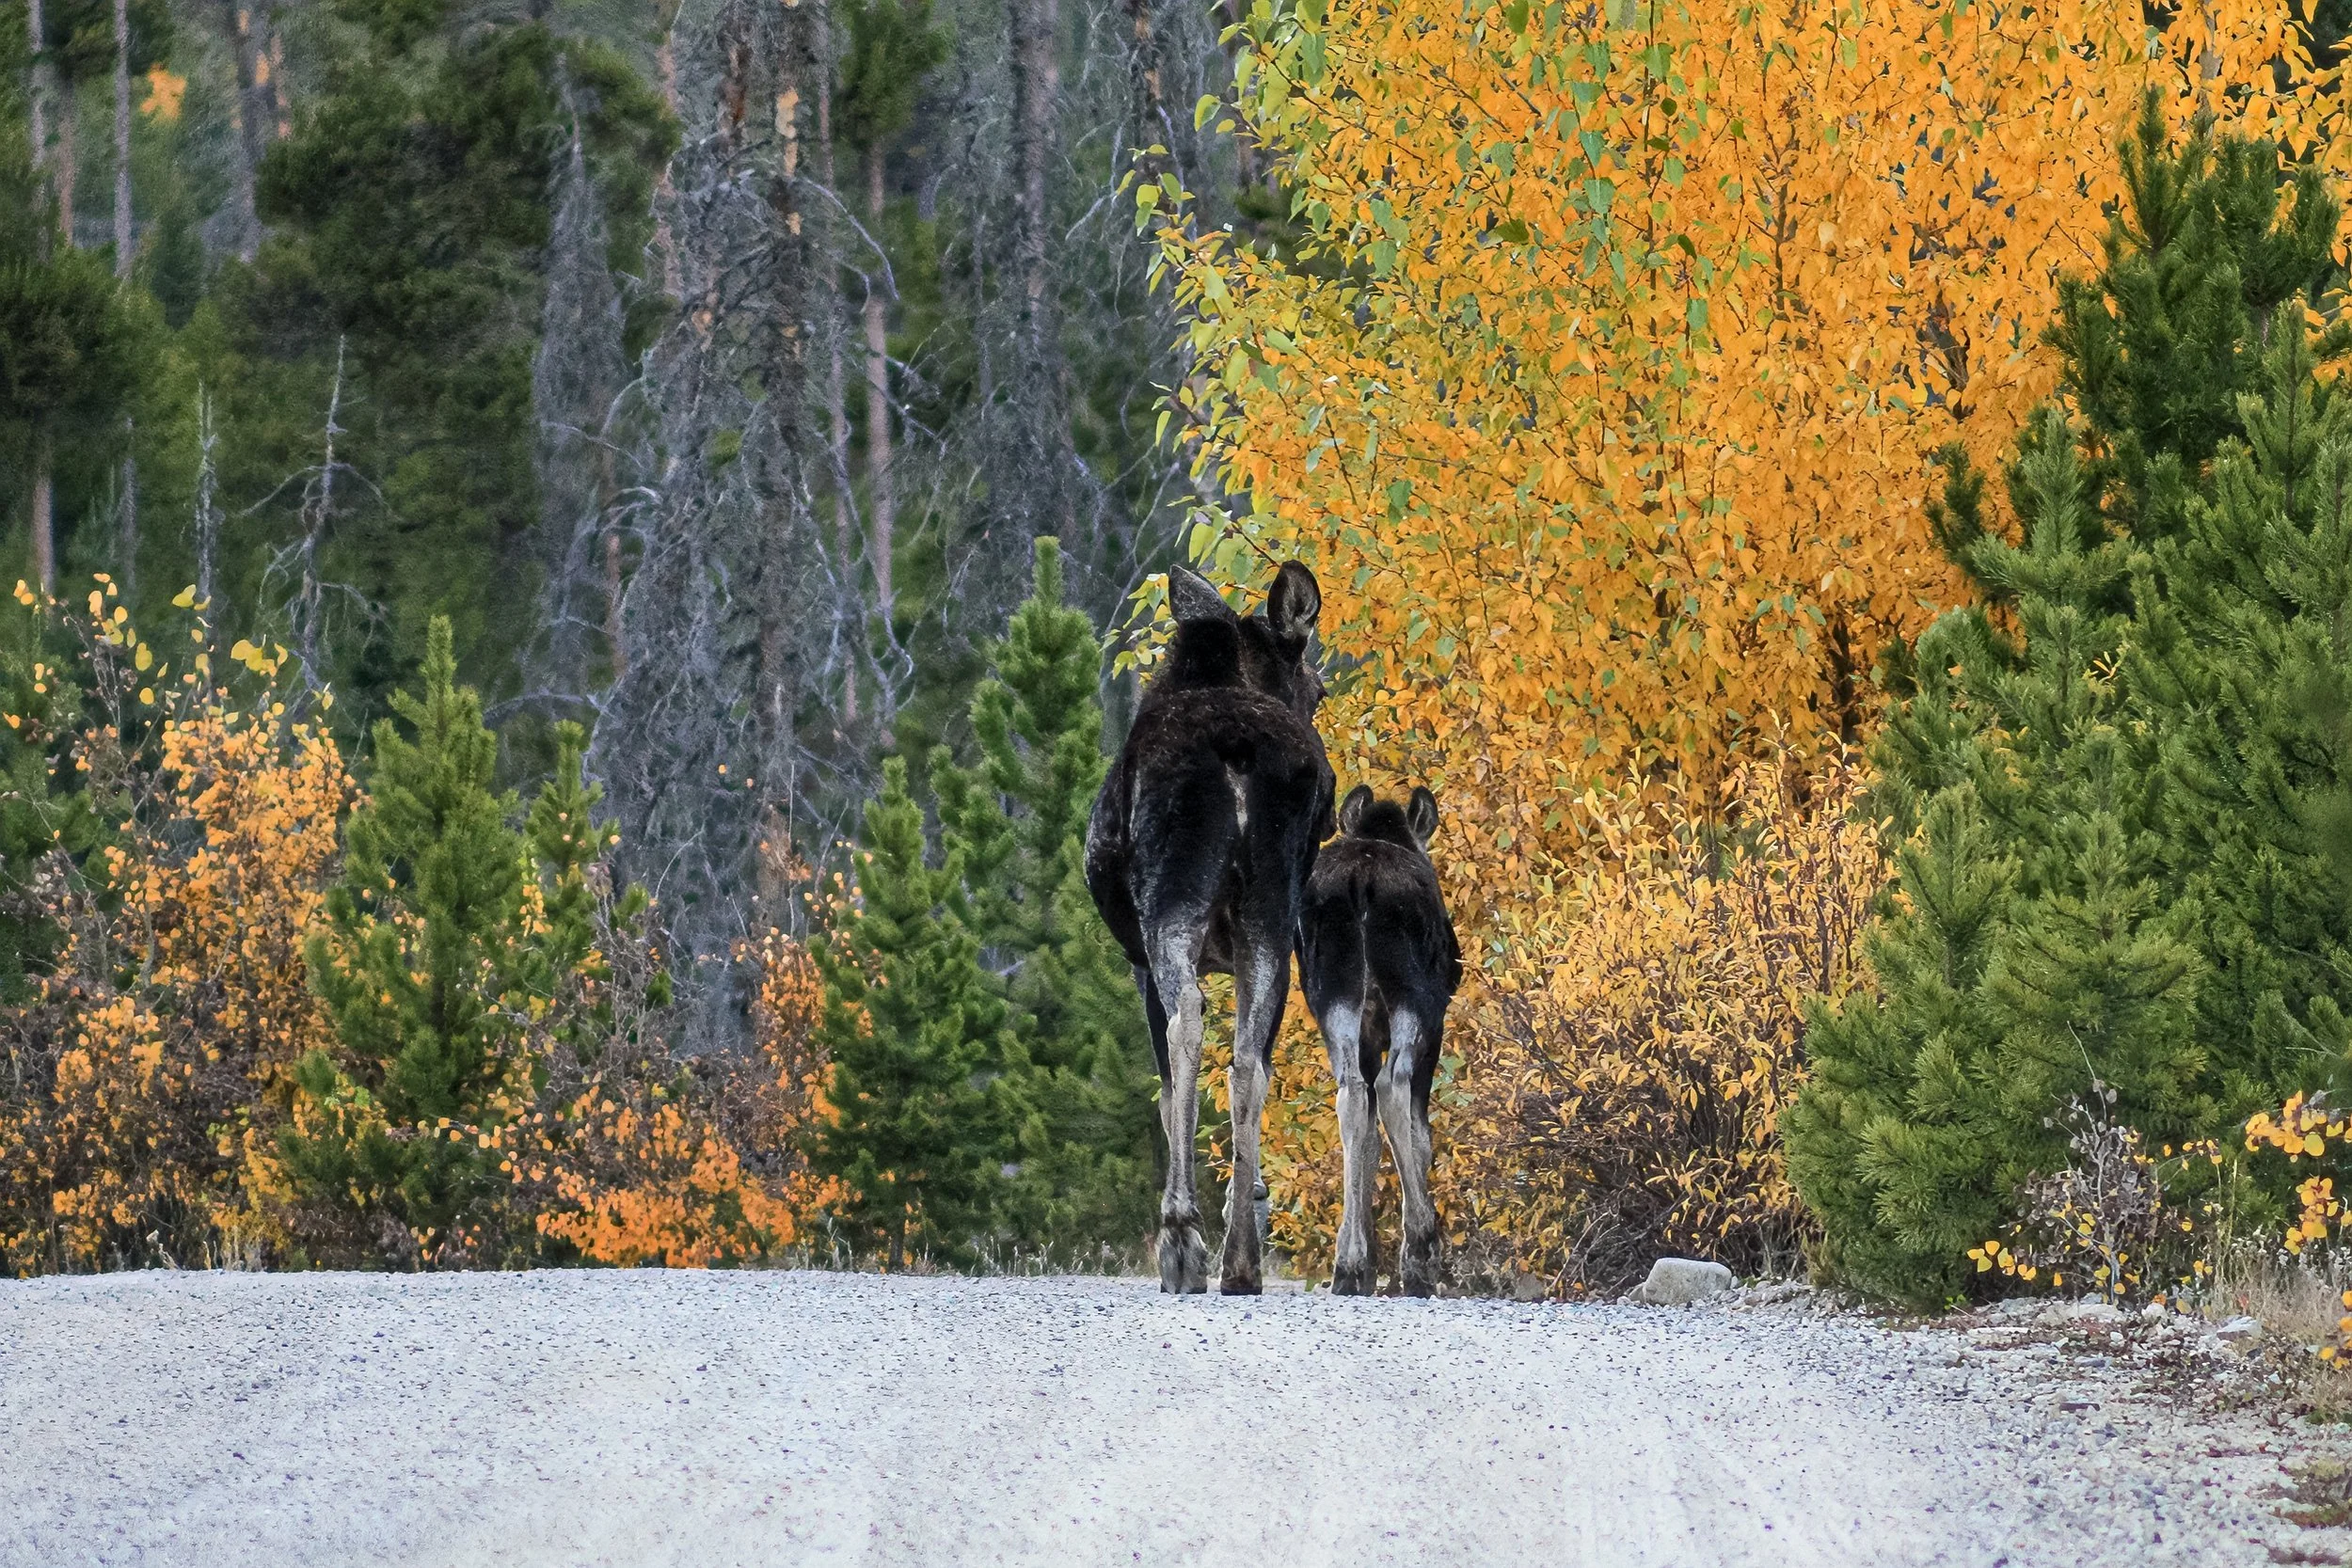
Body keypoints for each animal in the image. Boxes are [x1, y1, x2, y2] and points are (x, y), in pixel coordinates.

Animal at [1084, 560, 1334, 1294]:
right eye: (1318, 687)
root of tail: (1238, 751)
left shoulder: (1137, 958)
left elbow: (1168, 1095)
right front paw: (1249, 1198)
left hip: (1172, 907)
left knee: (1188, 1026)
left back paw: (1183, 1239)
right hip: (1271, 919)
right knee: (1249, 1060)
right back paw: (1242, 1256)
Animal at [1298, 784, 1461, 1296]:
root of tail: (1361, 882)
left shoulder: (1367, 1030)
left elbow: (1368, 1140)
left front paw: (1364, 1259)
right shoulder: (1435, 1021)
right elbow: (1420, 1134)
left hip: (1334, 996)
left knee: (1352, 1095)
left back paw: (1349, 1265)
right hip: (1413, 995)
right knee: (1392, 1087)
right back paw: (1420, 1254)